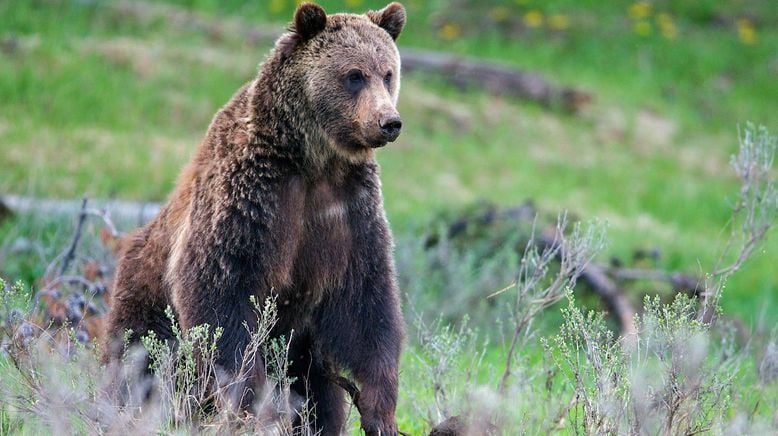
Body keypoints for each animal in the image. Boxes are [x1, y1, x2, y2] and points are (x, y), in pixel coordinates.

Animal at [104, 1, 406, 434]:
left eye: (387, 73)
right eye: (354, 75)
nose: (389, 122)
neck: (313, 159)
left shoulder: (350, 210)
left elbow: (368, 301)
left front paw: (378, 409)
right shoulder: (252, 197)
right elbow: (223, 293)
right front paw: (254, 405)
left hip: (304, 352)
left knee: (318, 392)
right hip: (145, 300)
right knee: (141, 359)